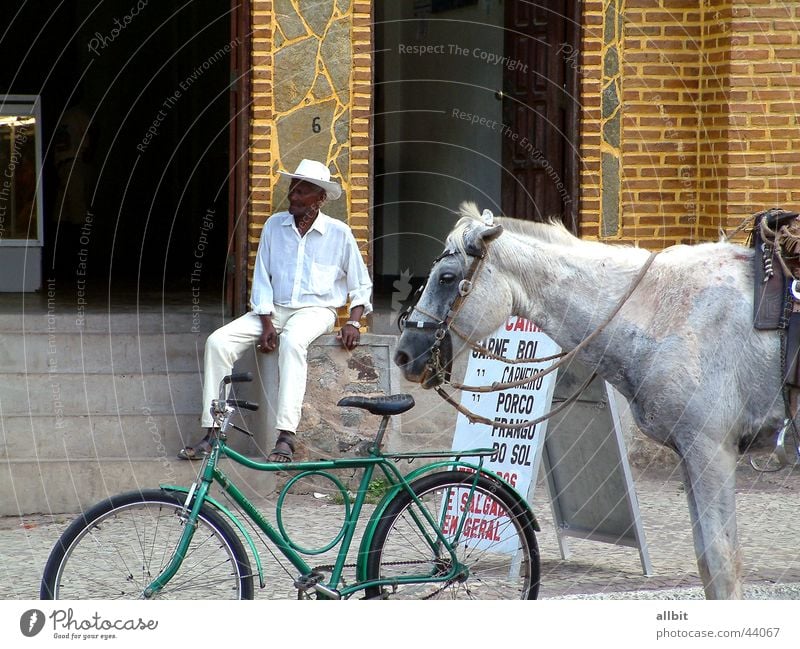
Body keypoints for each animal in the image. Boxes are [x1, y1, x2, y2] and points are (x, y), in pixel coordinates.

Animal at [396, 201, 788, 596]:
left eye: (446, 277)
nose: (403, 354)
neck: (669, 313)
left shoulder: (710, 450)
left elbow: (721, 562)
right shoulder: (691, 455)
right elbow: (707, 561)